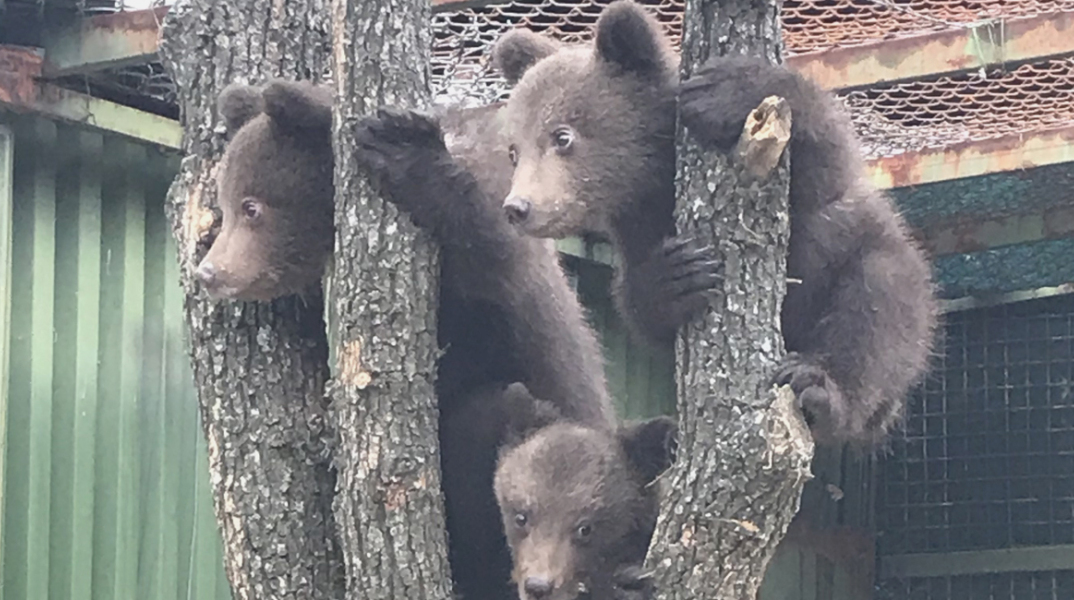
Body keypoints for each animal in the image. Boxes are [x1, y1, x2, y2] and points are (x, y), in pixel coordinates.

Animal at [489, 0, 939, 449]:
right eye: (513, 149)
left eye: (562, 136)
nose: (518, 207)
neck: (654, 177)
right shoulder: (636, 226)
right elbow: (641, 305)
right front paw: (677, 274)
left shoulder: (813, 204)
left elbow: (827, 162)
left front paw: (727, 90)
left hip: (876, 267)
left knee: (878, 313)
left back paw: (819, 387)